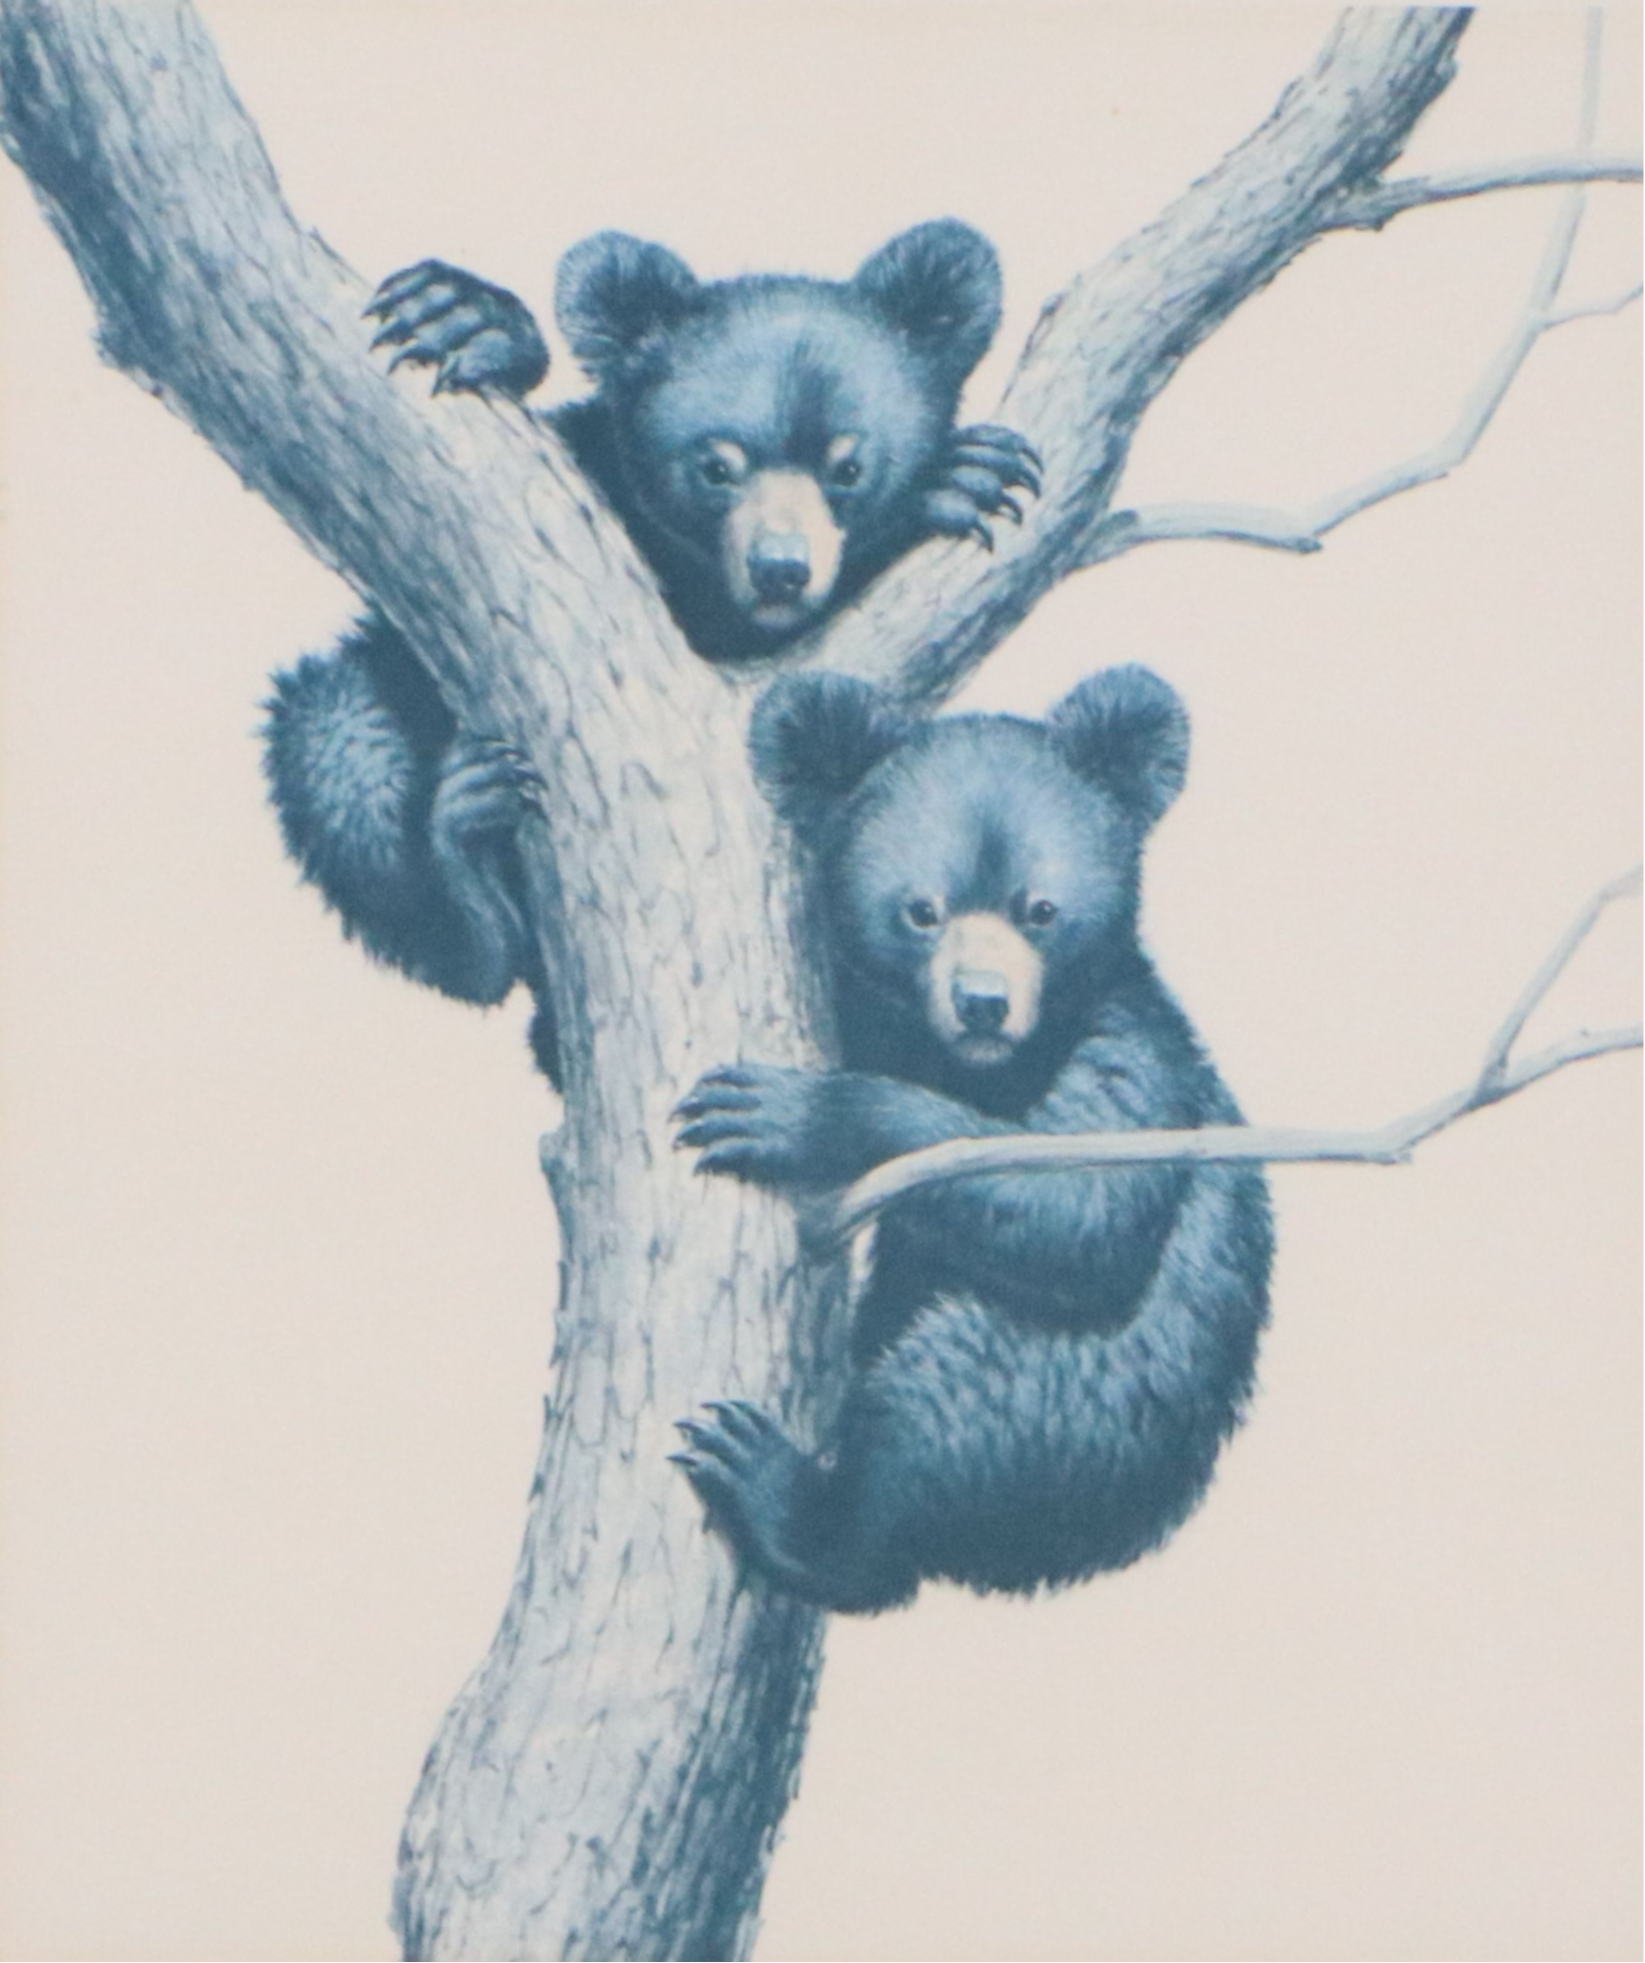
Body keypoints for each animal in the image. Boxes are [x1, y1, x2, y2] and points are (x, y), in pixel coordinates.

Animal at [263, 222, 1039, 1081]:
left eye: (849, 465)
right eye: (714, 465)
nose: (780, 568)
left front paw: (960, 476)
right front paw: (462, 314)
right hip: (363, 711)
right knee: (342, 761)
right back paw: (466, 859)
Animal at [669, 666, 1274, 1614]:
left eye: (1040, 908)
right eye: (921, 909)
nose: (982, 1000)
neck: (974, 1069)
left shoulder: (1131, 1059)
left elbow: (1080, 1212)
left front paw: (786, 1113)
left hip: (1052, 1405)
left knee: (929, 1422)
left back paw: (780, 1490)